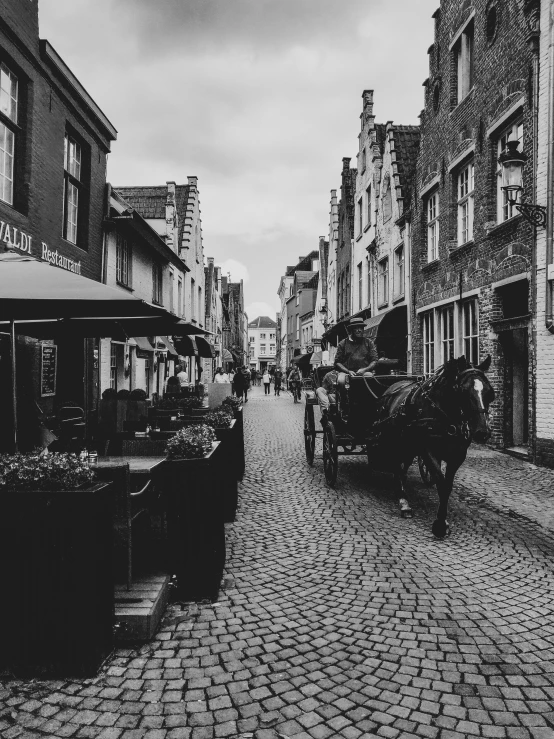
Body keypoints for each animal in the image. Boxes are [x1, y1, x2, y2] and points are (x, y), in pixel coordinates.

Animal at [368, 356, 494, 536]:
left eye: (490, 392)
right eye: (463, 391)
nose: (482, 432)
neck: (446, 415)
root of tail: (392, 388)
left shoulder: (457, 455)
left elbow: (447, 486)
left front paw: (444, 521)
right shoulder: (428, 451)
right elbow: (441, 483)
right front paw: (439, 525)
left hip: (409, 446)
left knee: (402, 469)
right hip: (396, 443)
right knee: (398, 468)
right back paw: (404, 503)